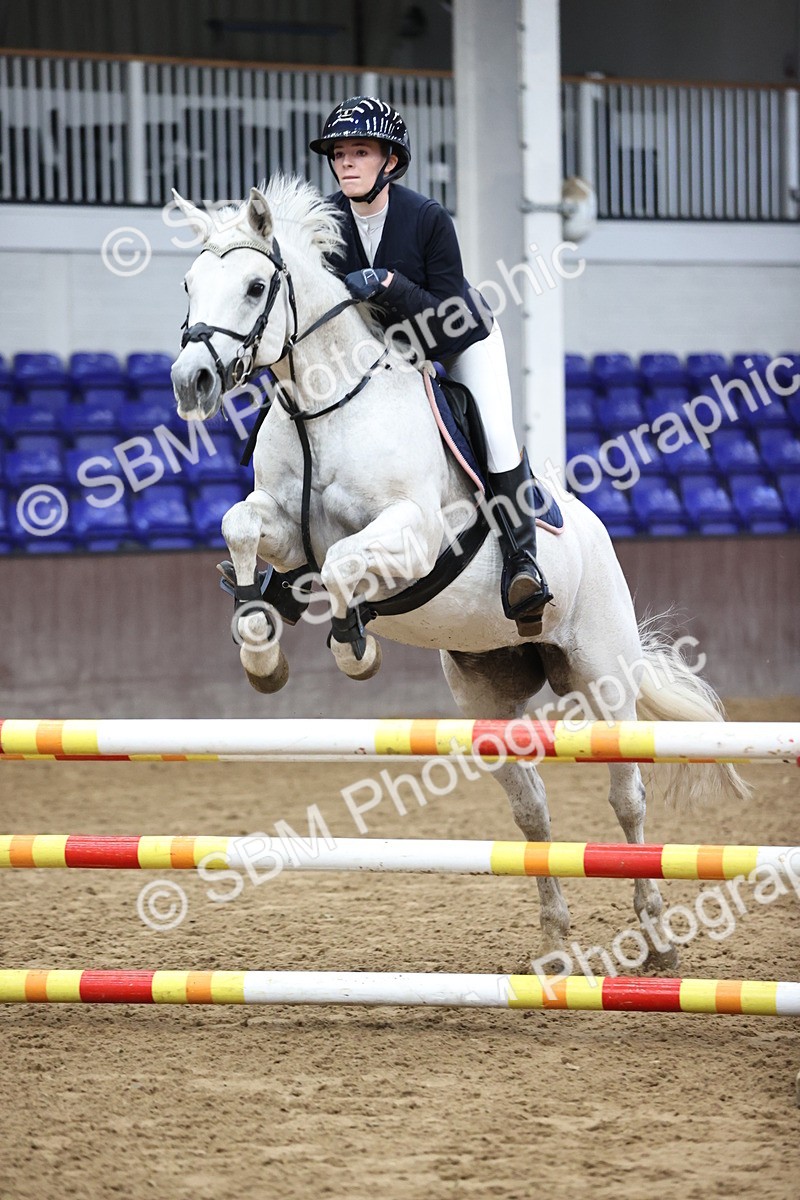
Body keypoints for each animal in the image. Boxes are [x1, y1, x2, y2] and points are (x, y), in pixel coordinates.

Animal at [170, 175, 748, 970]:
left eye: (257, 286)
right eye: (189, 284)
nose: (190, 381)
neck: (325, 404)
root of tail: (596, 534)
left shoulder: (412, 536)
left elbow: (344, 564)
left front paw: (354, 648)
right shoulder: (284, 530)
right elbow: (241, 527)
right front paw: (261, 644)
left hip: (603, 677)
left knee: (627, 797)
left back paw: (658, 940)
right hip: (488, 696)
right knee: (532, 810)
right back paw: (555, 947)